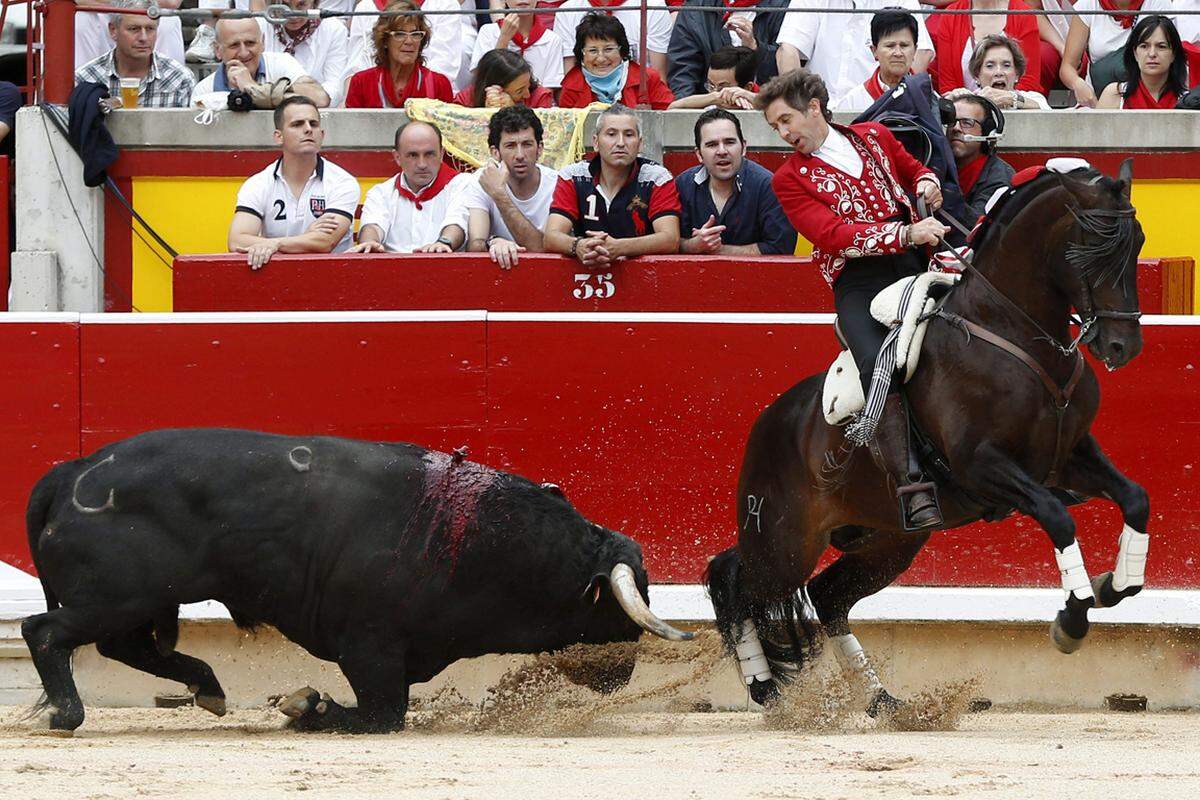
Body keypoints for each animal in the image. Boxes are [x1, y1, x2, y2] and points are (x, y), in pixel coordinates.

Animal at [21, 429, 696, 734]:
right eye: (614, 608)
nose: (622, 674)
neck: (475, 538)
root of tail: (74, 469)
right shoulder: (370, 646)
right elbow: (382, 713)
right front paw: (306, 705)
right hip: (116, 596)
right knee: (44, 629)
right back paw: (67, 714)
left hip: (136, 601)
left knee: (124, 646)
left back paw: (209, 689)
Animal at [705, 159, 1147, 710]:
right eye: (1089, 249)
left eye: (1138, 243)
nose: (1123, 345)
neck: (1017, 333)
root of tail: (768, 420)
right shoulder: (982, 465)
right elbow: (1057, 516)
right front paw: (1072, 617)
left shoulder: (1069, 457)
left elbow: (1135, 498)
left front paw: (1115, 585)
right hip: (783, 540)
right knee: (735, 579)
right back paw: (766, 688)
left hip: (887, 539)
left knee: (826, 597)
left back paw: (880, 701)